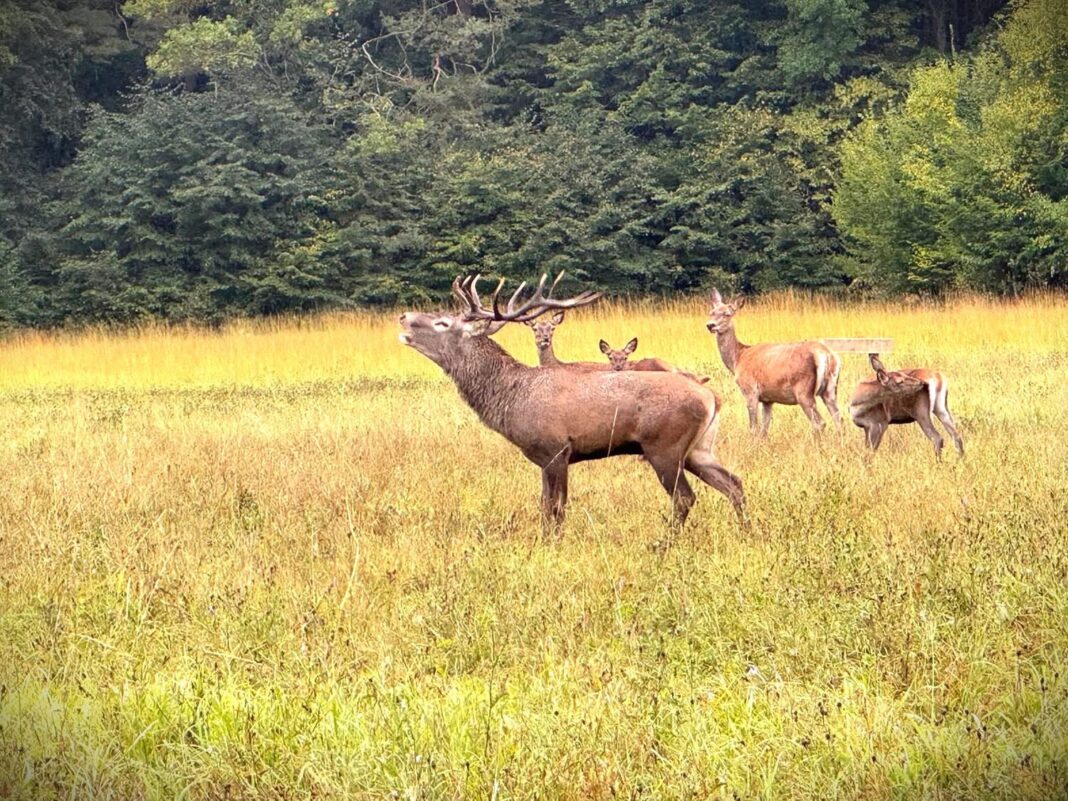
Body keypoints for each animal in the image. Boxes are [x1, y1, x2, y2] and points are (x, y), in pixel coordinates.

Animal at [399, 274, 746, 528]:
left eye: (442, 323)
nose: (403, 317)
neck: (511, 399)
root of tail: (711, 397)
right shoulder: (543, 457)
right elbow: (543, 507)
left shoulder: (556, 449)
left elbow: (556, 508)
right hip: (699, 448)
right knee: (734, 483)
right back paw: (746, 530)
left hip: (665, 446)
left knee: (685, 497)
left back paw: (665, 543)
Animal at [705, 288, 841, 436]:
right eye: (711, 312)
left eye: (727, 314)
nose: (710, 325)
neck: (738, 358)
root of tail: (825, 354)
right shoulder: (768, 399)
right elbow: (764, 430)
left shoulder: (750, 390)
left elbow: (754, 428)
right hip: (830, 390)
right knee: (839, 418)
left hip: (803, 390)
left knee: (820, 423)